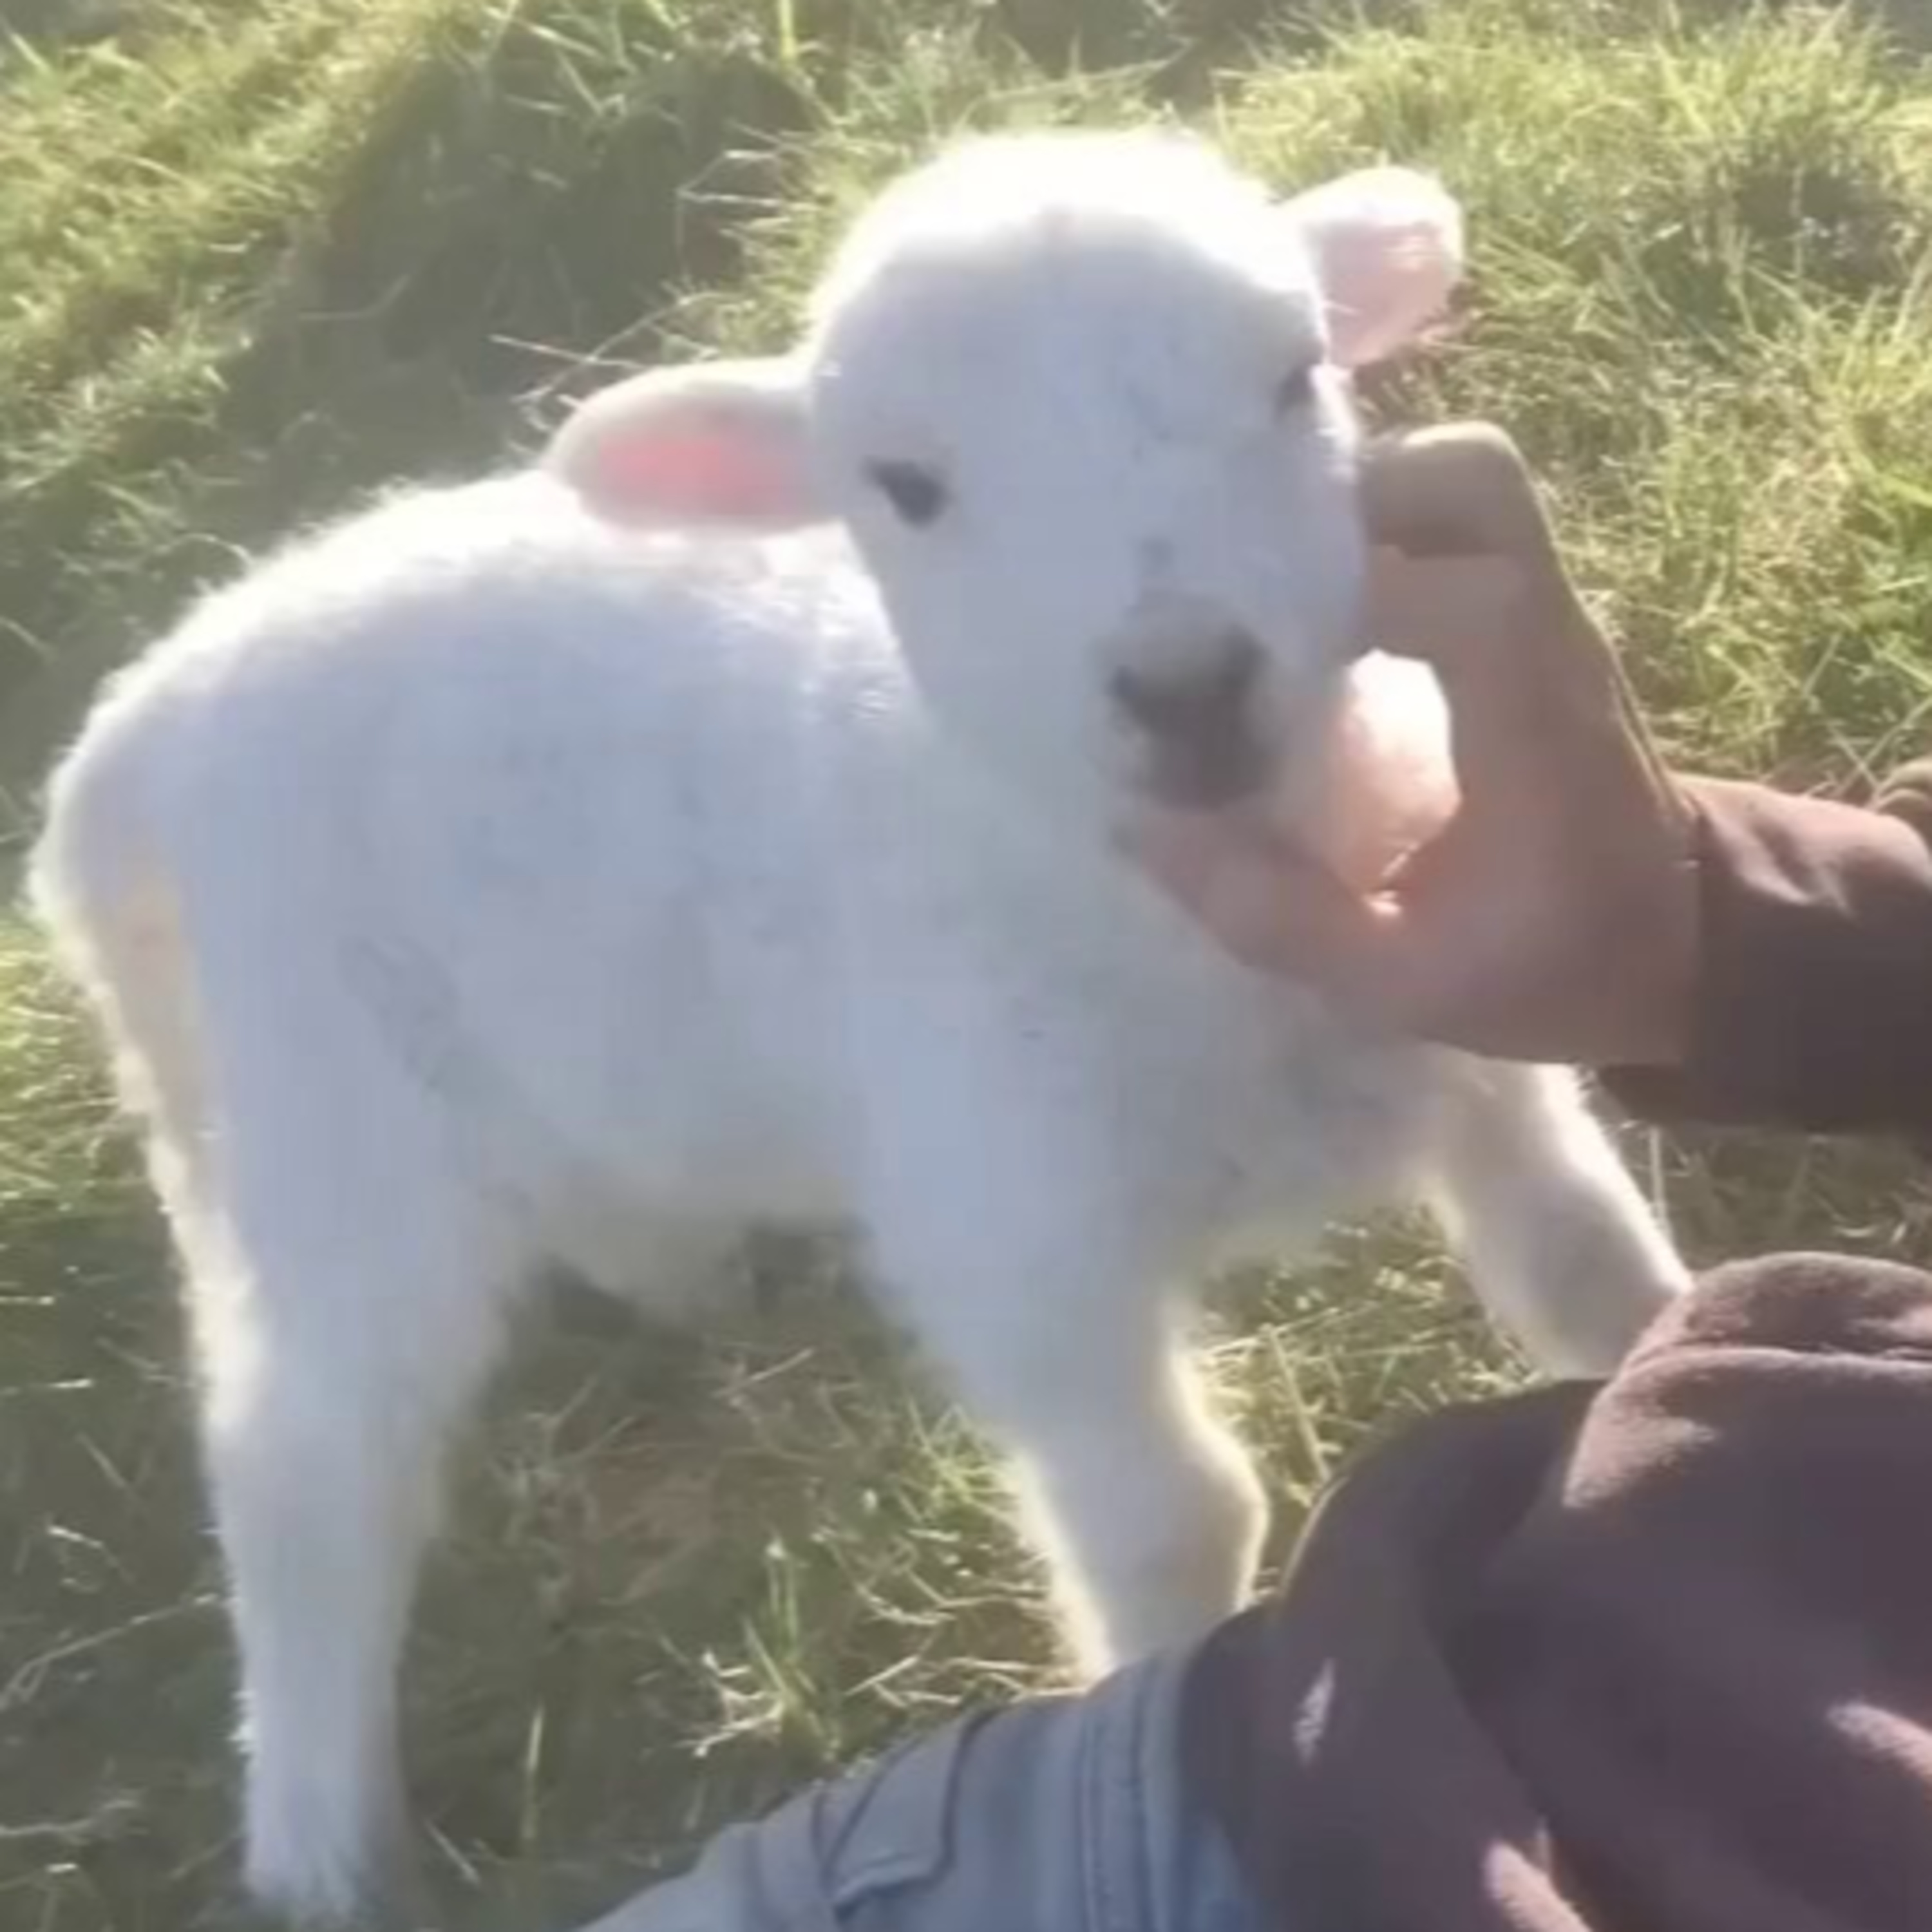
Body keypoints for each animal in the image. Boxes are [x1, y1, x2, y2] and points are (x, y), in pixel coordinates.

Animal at [28, 127, 1687, 1924]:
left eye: (1292, 376)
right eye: (905, 486)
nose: (1182, 682)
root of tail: (132, 736)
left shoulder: (1477, 1032)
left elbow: (1595, 1279)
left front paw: (1651, 1396)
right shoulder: (1014, 1234)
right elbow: (1175, 1517)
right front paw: (1160, 1689)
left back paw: (679, 1269)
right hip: (328, 1104)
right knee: (302, 1461)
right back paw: (320, 1832)